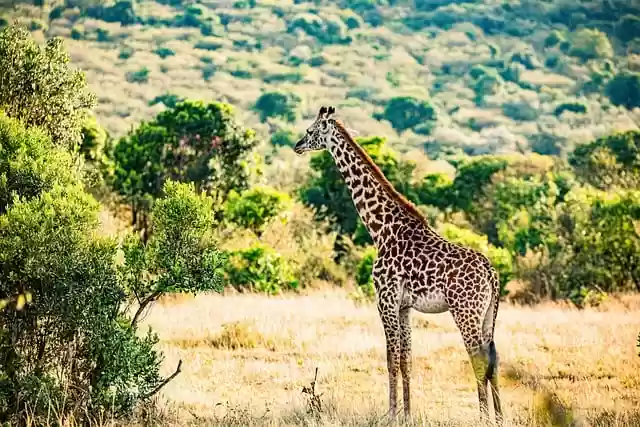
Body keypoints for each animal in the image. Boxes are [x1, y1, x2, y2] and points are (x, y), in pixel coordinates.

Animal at [294, 106, 503, 425]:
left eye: (310, 131)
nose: (297, 146)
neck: (381, 228)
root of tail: (491, 273)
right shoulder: (404, 306)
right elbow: (407, 360)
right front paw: (407, 413)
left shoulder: (386, 300)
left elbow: (391, 359)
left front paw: (390, 414)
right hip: (488, 313)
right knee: (494, 358)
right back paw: (500, 416)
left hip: (465, 311)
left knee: (478, 358)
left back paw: (483, 418)